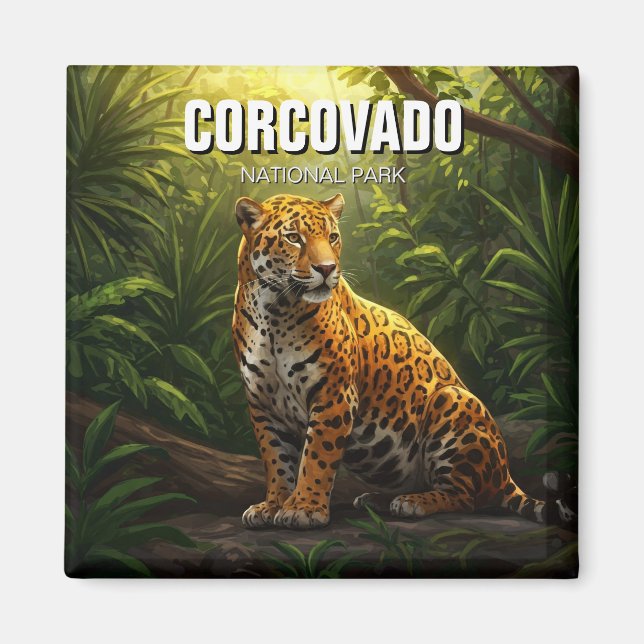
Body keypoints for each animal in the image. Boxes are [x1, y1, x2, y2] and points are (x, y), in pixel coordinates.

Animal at [232, 192, 569, 530]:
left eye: (333, 237)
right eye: (293, 238)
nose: (327, 269)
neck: (273, 311)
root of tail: (506, 474)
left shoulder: (335, 395)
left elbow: (316, 456)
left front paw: (304, 507)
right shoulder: (262, 404)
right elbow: (276, 459)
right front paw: (273, 505)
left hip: (452, 401)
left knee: (466, 498)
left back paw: (412, 502)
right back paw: (376, 499)